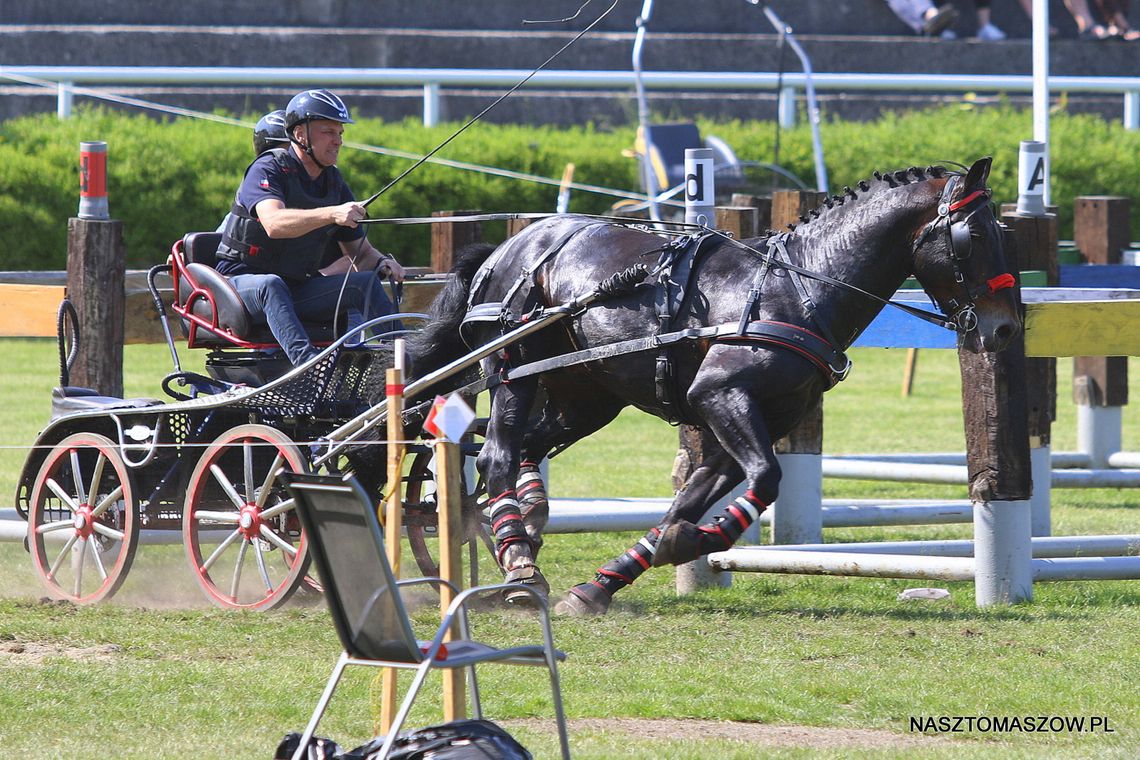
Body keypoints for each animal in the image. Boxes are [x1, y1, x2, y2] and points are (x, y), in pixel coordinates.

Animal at [405, 157, 1021, 615]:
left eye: (1002, 232)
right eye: (974, 235)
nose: (1005, 328)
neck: (798, 288)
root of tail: (508, 247)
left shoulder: (749, 420)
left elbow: (693, 497)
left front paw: (614, 577)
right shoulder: (720, 396)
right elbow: (765, 478)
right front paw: (686, 542)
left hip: (586, 396)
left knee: (523, 449)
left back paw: (524, 523)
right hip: (515, 370)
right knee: (499, 456)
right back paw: (519, 565)